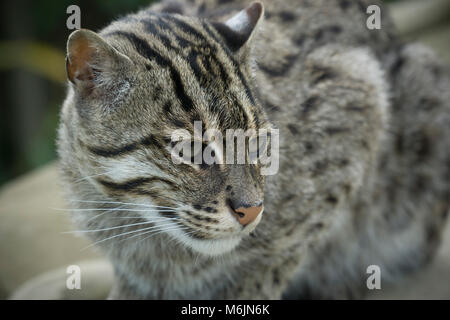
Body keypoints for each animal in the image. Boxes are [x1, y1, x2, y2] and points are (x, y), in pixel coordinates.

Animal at [57, 0, 450, 300]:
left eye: (259, 142)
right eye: (190, 150)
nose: (252, 211)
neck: (136, 221)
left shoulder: (361, 92)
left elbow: (274, 258)